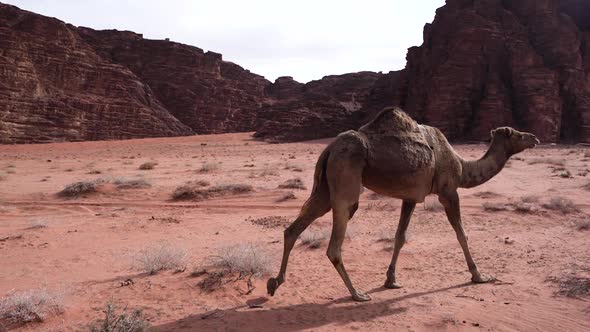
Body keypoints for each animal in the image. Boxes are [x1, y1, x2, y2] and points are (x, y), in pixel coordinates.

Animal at [268, 105, 540, 300]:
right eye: (516, 133)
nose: (535, 138)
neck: (463, 167)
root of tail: (329, 148)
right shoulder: (448, 191)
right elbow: (461, 233)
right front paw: (479, 276)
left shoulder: (410, 198)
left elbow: (400, 236)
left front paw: (391, 280)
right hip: (346, 174)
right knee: (336, 239)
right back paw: (357, 294)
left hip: (325, 186)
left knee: (294, 228)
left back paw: (275, 282)